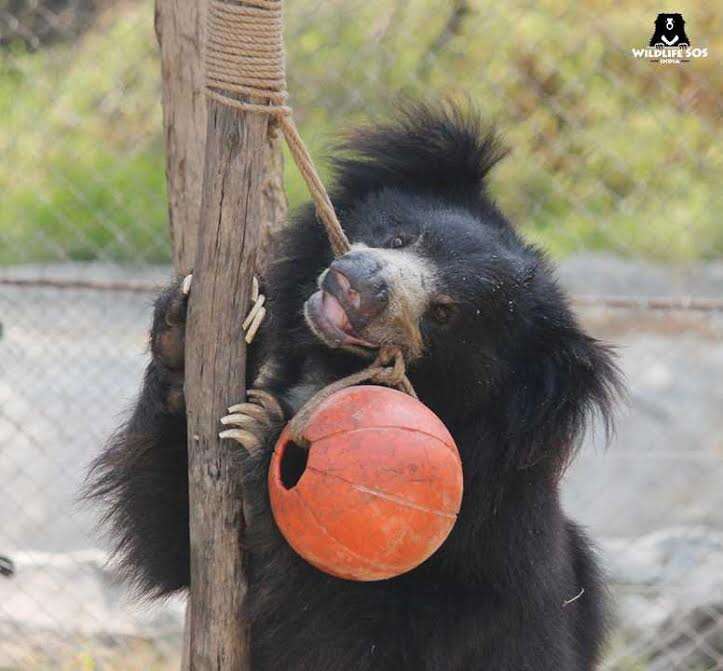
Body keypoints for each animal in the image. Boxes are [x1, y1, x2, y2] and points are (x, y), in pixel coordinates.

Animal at [87, 102, 624, 668]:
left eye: (445, 312)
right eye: (401, 237)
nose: (360, 285)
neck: (330, 369)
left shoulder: (479, 546)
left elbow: (348, 628)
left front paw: (267, 440)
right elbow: (175, 539)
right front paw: (184, 332)